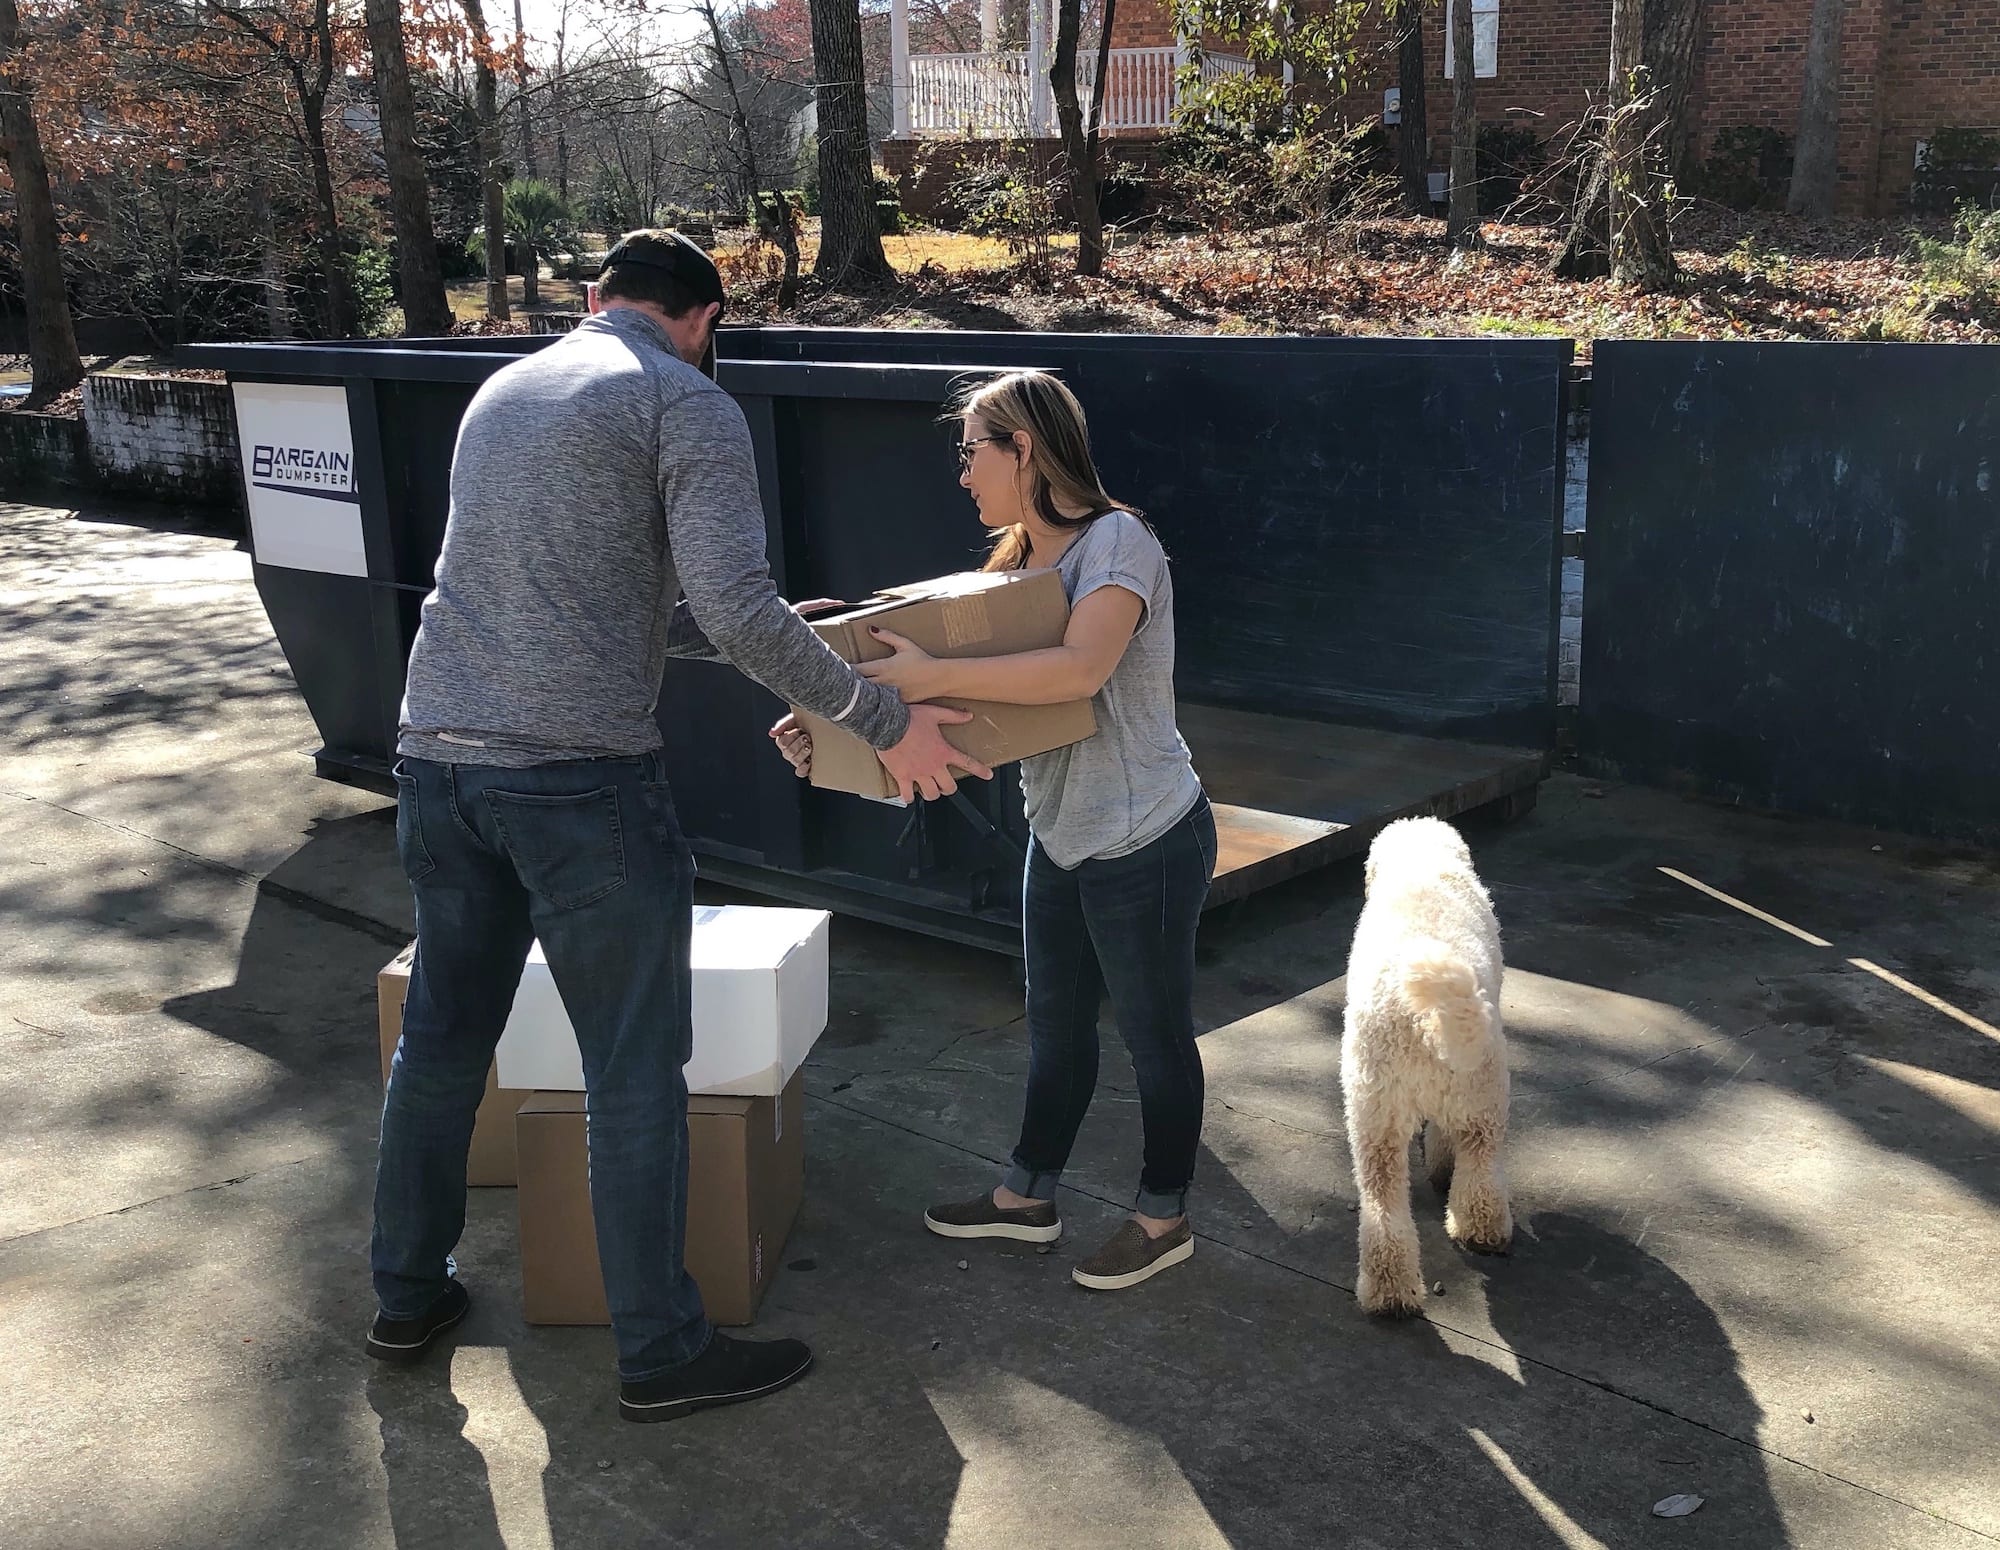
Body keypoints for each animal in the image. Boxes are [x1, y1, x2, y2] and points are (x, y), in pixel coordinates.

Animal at [1336, 820, 1504, 1312]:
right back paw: (1482, 1229)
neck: (1423, 860)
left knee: (1383, 1205)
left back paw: (1390, 1292)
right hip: (1483, 1095)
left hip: (1375, 1117)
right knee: (1480, 1166)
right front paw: (1441, 1166)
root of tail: (1421, 1019)